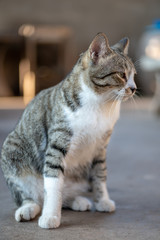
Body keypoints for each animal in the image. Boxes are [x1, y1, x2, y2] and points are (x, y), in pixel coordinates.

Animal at [0, 32, 137, 229]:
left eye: (134, 75)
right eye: (121, 75)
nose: (133, 88)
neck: (100, 103)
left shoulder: (100, 147)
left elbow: (100, 174)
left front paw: (102, 201)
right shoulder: (57, 143)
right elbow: (53, 183)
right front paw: (50, 216)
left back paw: (76, 201)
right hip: (11, 151)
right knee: (30, 196)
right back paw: (28, 209)